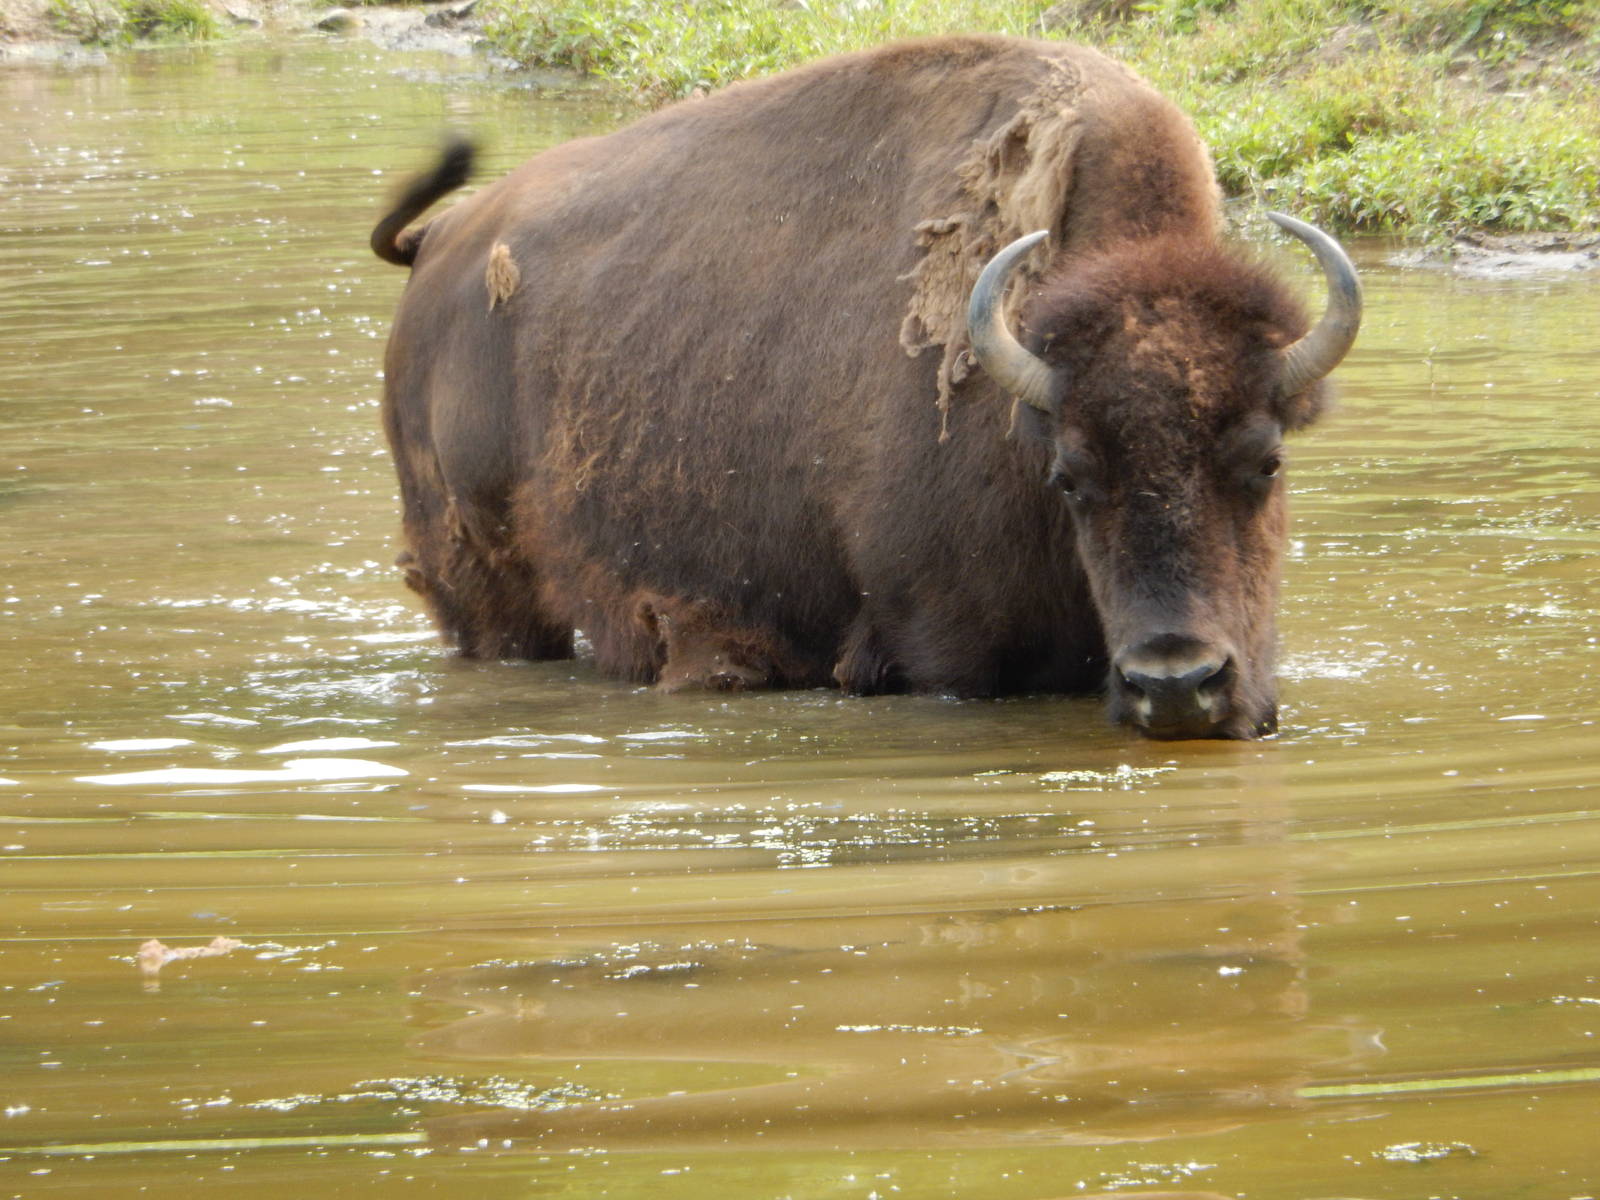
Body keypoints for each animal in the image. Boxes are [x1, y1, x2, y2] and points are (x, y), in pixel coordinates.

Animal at [370, 35, 1361, 740]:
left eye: (1267, 461)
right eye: (1072, 477)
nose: (1178, 684)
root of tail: (444, 239)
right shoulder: (942, 649)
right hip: (485, 590)